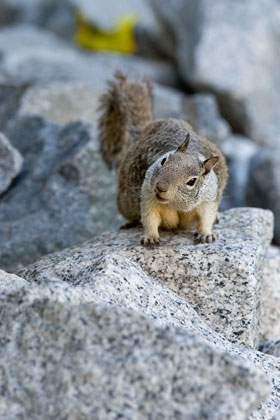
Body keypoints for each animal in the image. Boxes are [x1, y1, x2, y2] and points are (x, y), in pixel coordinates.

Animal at [98, 73, 228, 246]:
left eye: (192, 181)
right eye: (164, 160)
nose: (160, 187)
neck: (175, 205)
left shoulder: (208, 199)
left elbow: (206, 218)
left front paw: (206, 234)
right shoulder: (147, 196)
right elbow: (150, 218)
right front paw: (150, 237)